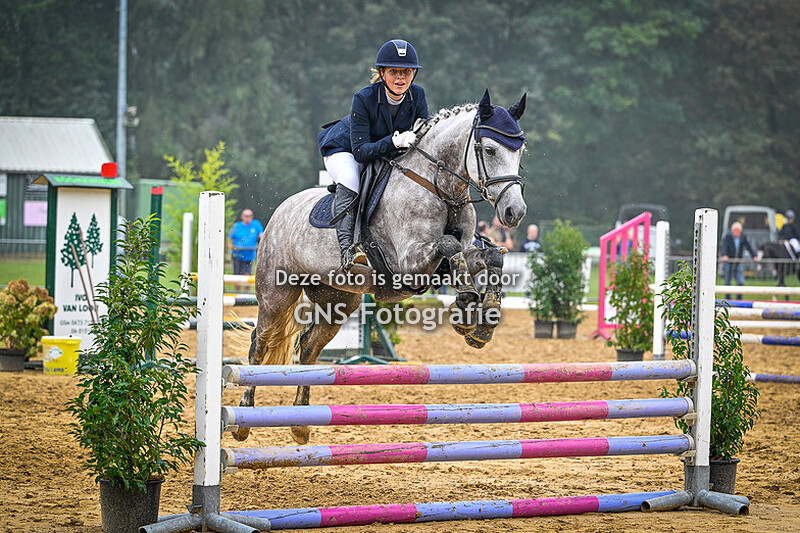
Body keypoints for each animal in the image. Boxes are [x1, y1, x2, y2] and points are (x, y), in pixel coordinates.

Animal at [235, 90, 528, 444]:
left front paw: (484, 322)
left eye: (520, 150)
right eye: (489, 149)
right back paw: (243, 420)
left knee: (308, 347)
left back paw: (301, 424)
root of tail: (280, 212)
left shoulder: (447, 261)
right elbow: (449, 246)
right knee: (260, 345)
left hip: (337, 301)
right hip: (276, 295)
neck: (439, 188)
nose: (515, 212)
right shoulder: (410, 263)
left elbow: (492, 256)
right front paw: (467, 305)